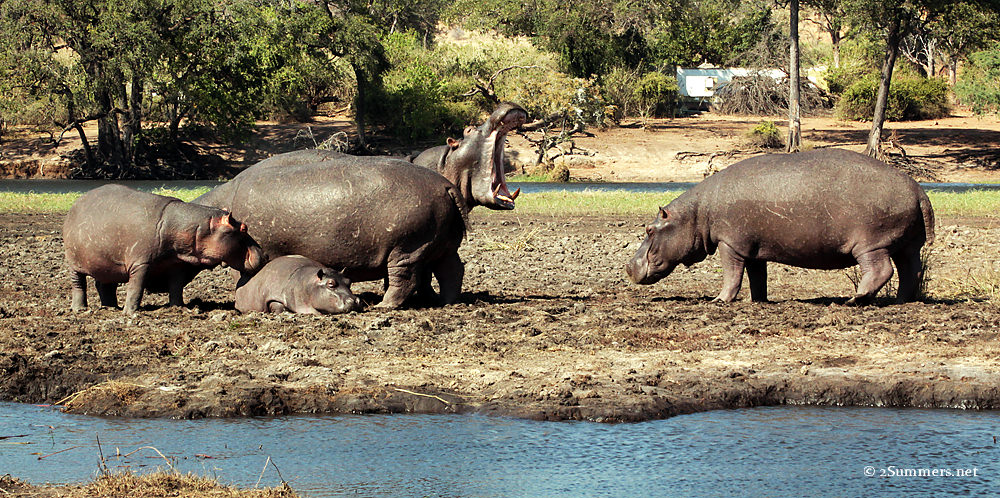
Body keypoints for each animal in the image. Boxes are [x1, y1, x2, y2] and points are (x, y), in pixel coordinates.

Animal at [63, 184, 265, 314]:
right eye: (244, 228)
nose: (263, 253)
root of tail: (76, 203)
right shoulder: (141, 263)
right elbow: (136, 288)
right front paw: (130, 313)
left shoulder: (176, 263)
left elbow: (176, 287)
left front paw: (179, 308)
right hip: (73, 264)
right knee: (78, 284)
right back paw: (80, 309)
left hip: (106, 264)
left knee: (104, 285)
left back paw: (110, 307)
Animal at [194, 155, 467, 308]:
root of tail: (446, 185)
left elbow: (241, 279)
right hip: (441, 245)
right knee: (452, 270)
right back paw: (445, 302)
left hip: (406, 248)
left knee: (405, 279)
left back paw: (384, 306)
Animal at [626, 148, 935, 304]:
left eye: (649, 230)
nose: (628, 266)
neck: (697, 214)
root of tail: (919, 190)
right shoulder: (752, 248)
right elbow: (756, 278)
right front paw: (758, 302)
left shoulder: (730, 244)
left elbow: (732, 275)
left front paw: (718, 300)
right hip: (906, 244)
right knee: (912, 271)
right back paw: (900, 301)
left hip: (871, 244)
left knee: (881, 270)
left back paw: (854, 300)